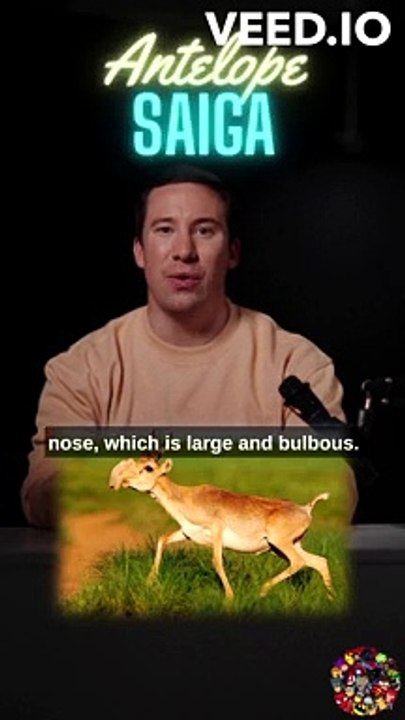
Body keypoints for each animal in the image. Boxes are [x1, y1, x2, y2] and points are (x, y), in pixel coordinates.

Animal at [109, 455, 333, 601]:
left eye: (148, 467)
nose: (119, 482)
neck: (187, 497)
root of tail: (306, 508)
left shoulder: (216, 532)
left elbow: (216, 561)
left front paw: (229, 598)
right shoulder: (187, 534)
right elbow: (161, 539)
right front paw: (150, 582)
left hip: (280, 545)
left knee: (300, 562)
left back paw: (262, 591)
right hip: (284, 547)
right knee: (319, 561)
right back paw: (331, 598)